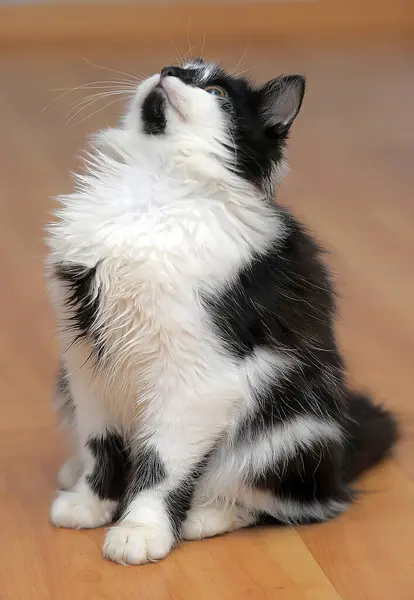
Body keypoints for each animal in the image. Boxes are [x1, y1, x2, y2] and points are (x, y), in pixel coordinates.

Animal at [46, 58, 398, 564]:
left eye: (216, 91)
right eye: (176, 66)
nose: (169, 71)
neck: (153, 188)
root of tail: (339, 456)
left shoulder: (196, 376)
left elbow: (161, 465)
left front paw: (140, 531)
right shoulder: (87, 365)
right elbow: (102, 446)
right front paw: (90, 503)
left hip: (283, 432)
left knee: (286, 502)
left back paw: (203, 516)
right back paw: (72, 473)